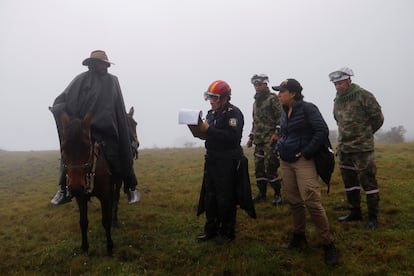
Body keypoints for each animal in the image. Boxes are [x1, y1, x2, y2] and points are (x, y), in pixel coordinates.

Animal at [59, 111, 115, 256]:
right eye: (63, 147)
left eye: (87, 146)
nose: (75, 188)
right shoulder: (81, 197)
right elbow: (83, 222)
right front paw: (84, 247)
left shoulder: (105, 196)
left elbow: (106, 220)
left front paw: (109, 247)